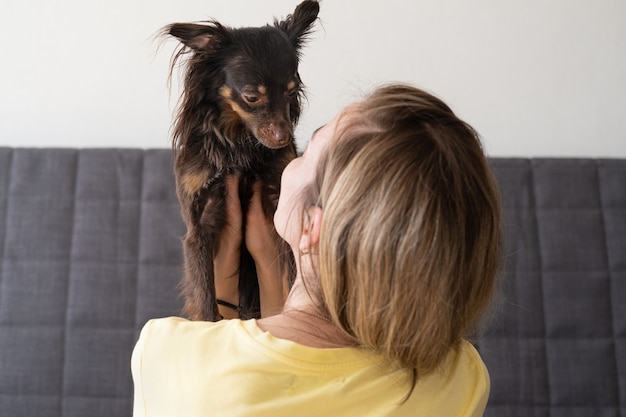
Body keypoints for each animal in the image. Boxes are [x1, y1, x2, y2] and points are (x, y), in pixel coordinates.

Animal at [162, 1, 316, 320]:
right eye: (251, 97)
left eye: (291, 92)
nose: (284, 138)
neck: (238, 145)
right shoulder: (198, 229)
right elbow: (206, 298)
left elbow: (292, 276)